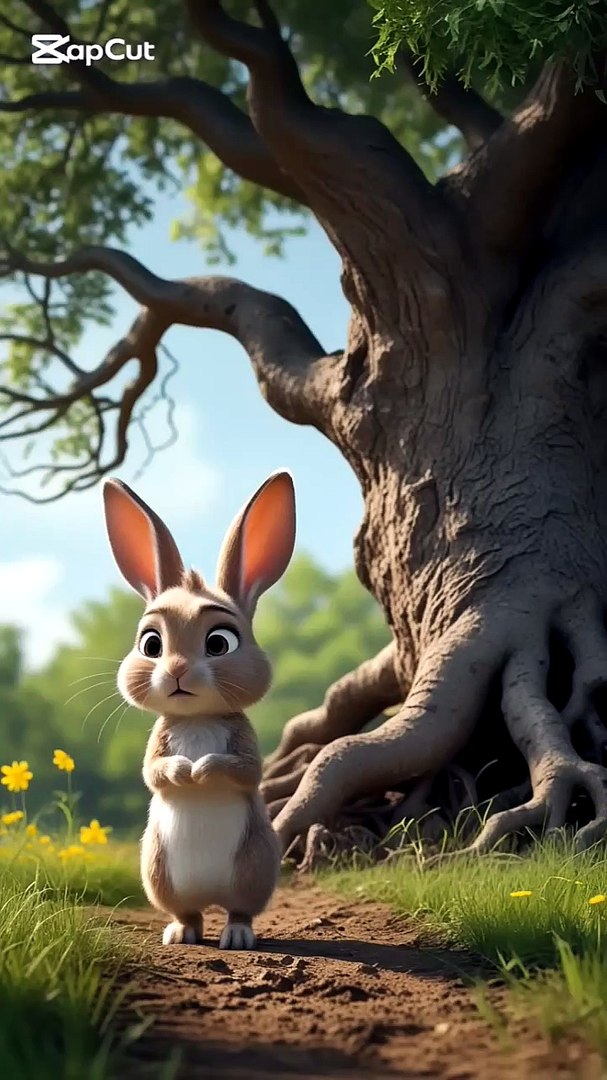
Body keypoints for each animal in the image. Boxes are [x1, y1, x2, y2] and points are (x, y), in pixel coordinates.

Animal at [102, 470, 296, 950]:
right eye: (151, 644)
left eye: (219, 642)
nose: (176, 672)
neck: (198, 719)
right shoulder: (160, 740)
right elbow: (153, 771)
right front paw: (182, 771)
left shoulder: (244, 742)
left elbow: (245, 769)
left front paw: (202, 768)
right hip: (158, 871)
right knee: (186, 912)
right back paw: (181, 933)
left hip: (254, 867)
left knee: (239, 909)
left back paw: (237, 936)